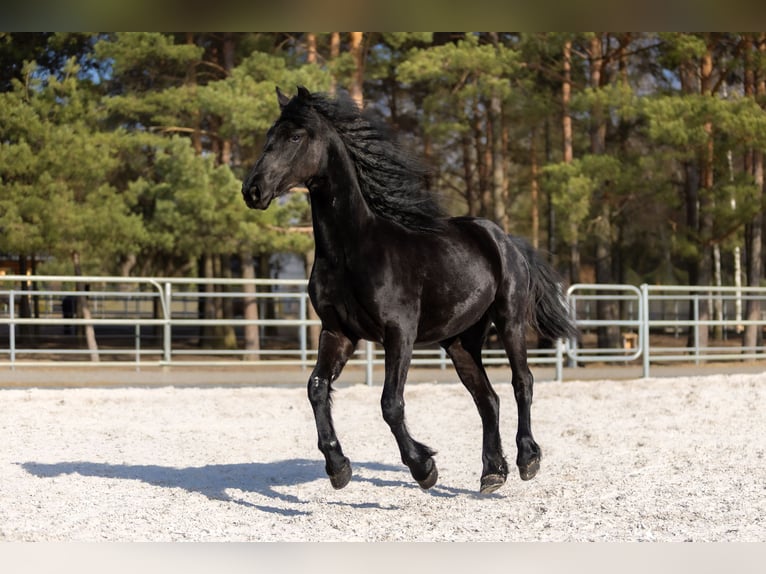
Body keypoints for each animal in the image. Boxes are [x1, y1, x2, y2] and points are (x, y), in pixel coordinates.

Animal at [241, 86, 577, 494]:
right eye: (268, 136)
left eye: (295, 136)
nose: (252, 190)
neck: (351, 250)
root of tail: (504, 238)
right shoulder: (338, 332)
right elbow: (316, 387)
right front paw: (338, 468)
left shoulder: (399, 332)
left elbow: (391, 403)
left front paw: (424, 467)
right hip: (461, 341)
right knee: (487, 398)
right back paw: (492, 473)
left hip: (509, 320)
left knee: (521, 382)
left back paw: (527, 459)